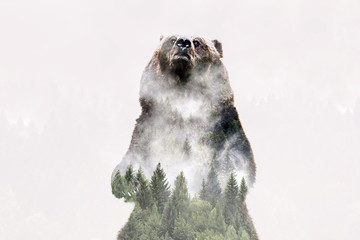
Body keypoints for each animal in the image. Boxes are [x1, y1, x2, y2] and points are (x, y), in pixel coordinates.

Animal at [112, 34, 256, 191]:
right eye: (172, 39)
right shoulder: (149, 126)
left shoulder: (225, 125)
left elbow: (237, 156)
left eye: (197, 42)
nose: (183, 42)